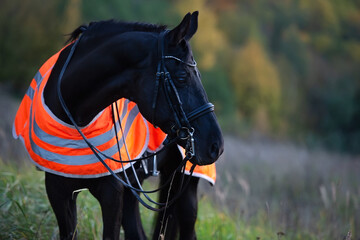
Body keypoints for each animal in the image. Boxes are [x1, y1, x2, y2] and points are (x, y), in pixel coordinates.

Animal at [24, 11, 222, 240]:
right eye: (182, 77)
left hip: (186, 191)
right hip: (135, 190)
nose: (216, 145)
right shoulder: (58, 191)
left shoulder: (112, 194)